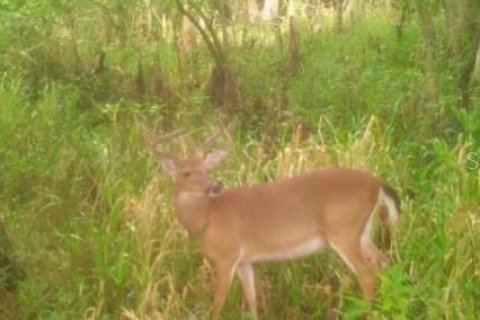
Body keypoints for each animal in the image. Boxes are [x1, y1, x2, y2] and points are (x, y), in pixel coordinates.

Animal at [159, 149, 400, 318]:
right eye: (186, 173)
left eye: (206, 170)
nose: (214, 186)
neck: (208, 218)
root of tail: (378, 183)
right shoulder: (244, 260)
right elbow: (252, 299)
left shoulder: (227, 256)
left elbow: (218, 303)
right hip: (364, 232)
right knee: (384, 262)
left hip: (344, 231)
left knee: (367, 275)